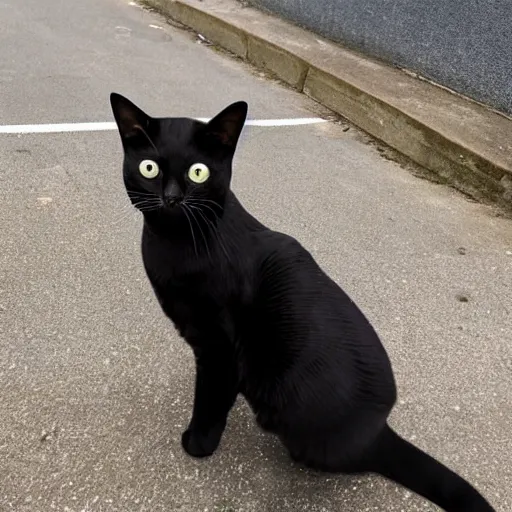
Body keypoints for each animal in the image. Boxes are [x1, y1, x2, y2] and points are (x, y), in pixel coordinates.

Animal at [110, 93, 494, 512]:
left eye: (198, 173)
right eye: (149, 168)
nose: (172, 198)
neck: (174, 246)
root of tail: (380, 431)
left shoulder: (218, 347)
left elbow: (209, 400)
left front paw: (198, 444)